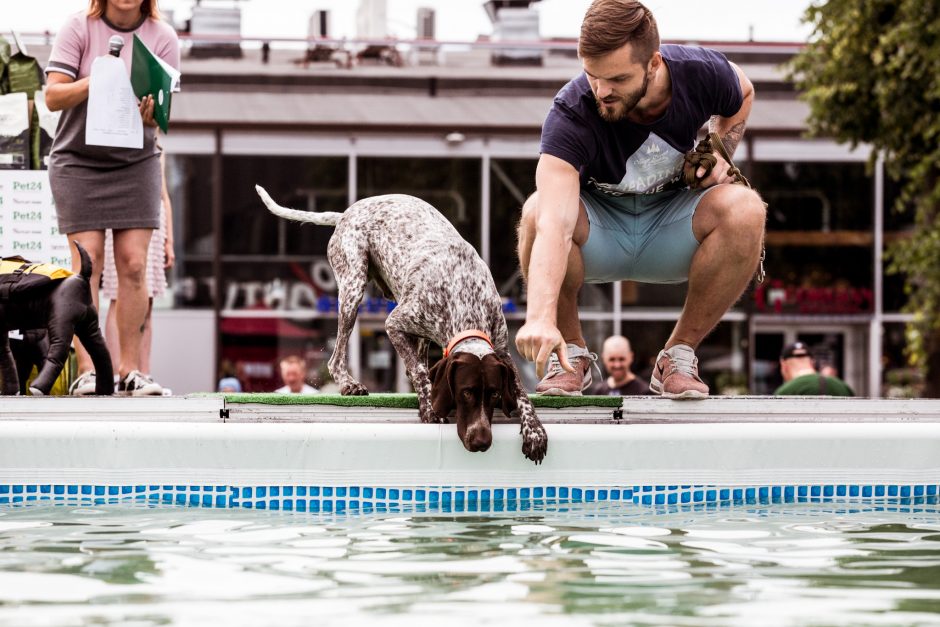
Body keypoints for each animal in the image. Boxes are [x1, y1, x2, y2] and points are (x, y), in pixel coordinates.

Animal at [0, 242, 113, 394]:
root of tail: (82, 278)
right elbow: (6, 359)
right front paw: (11, 391)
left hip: (61, 324)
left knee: (57, 353)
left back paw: (38, 387)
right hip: (89, 327)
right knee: (101, 353)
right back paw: (104, 389)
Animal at [258, 184, 548, 464]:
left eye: (495, 394)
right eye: (466, 393)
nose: (482, 442)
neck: (466, 302)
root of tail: (345, 214)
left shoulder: (501, 351)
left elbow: (522, 393)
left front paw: (534, 431)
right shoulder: (394, 323)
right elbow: (419, 371)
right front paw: (429, 407)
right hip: (353, 288)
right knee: (337, 357)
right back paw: (349, 384)